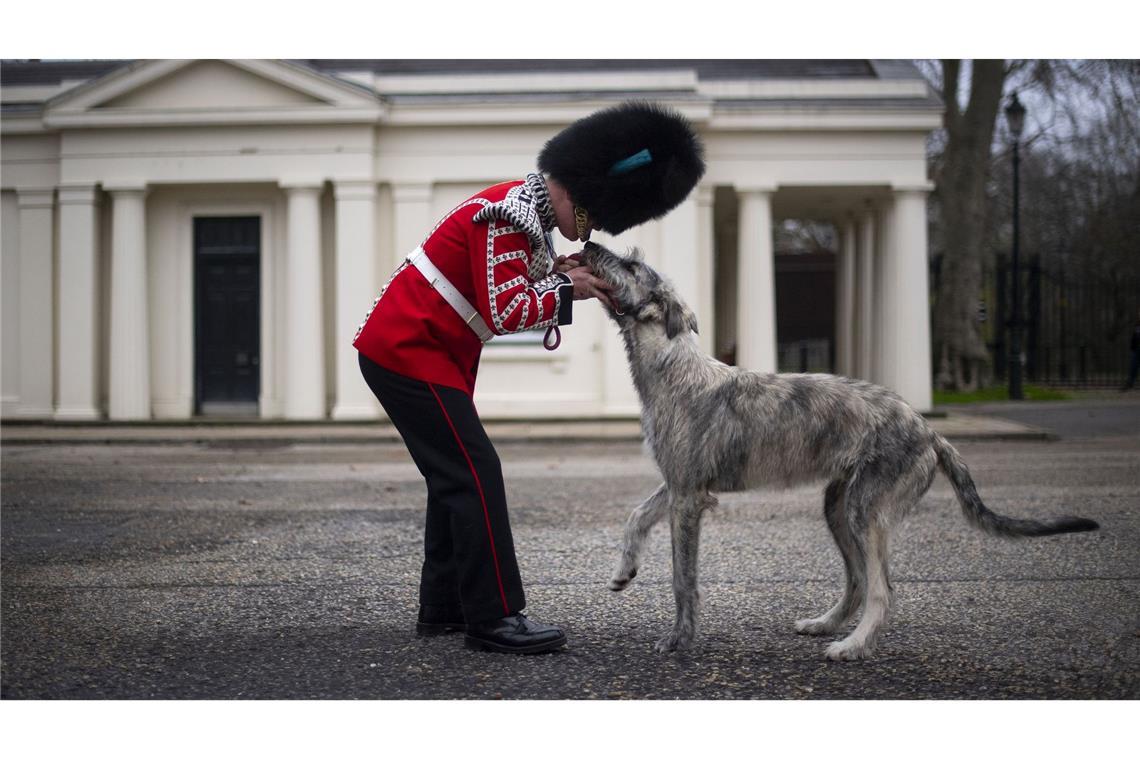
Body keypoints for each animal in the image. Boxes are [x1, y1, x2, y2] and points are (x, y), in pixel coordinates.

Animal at [583, 242, 1098, 660]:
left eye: (631, 265)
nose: (589, 244)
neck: (675, 369)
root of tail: (930, 432)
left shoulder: (690, 496)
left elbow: (682, 578)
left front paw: (679, 639)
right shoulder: (678, 484)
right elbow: (636, 515)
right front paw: (625, 570)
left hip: (866, 511)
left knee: (881, 589)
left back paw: (852, 646)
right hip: (839, 506)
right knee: (857, 580)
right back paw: (827, 624)